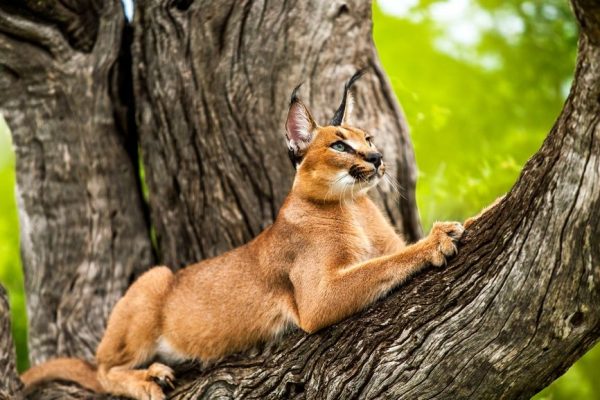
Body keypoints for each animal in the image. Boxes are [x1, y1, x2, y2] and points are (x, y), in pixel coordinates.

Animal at [21, 72, 464, 400]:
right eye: (339, 145)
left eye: (367, 138)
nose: (377, 158)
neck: (353, 206)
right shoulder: (316, 297)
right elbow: (382, 264)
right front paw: (437, 239)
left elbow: (386, 256)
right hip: (154, 279)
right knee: (101, 369)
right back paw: (148, 378)